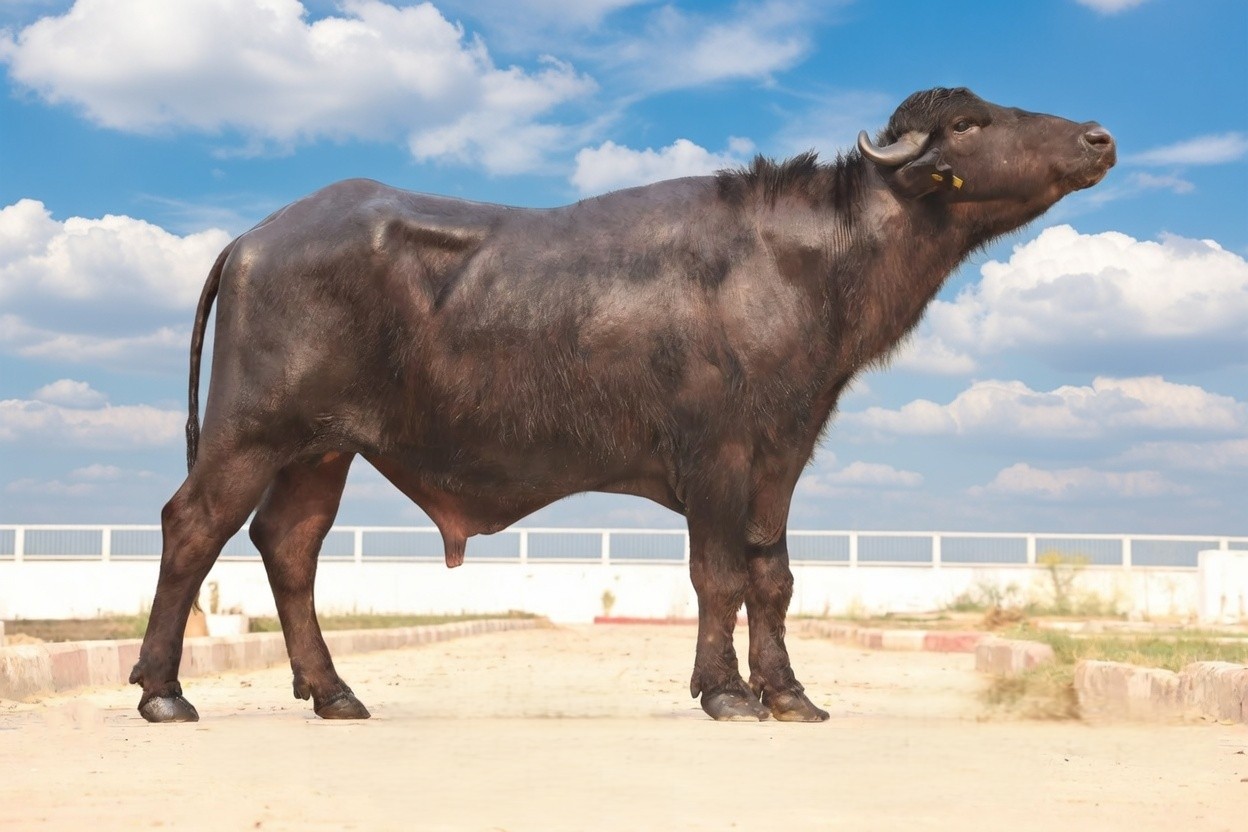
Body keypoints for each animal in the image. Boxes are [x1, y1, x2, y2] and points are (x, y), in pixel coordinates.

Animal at [129, 87, 1115, 723]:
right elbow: (718, 575)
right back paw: (164, 691)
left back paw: (332, 692)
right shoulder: (715, 454)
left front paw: (791, 693)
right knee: (194, 526)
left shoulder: (782, 453)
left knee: (288, 545)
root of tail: (257, 237)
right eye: (972, 122)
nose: (1099, 137)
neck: (798, 265)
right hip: (253, 430)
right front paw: (727, 692)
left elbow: (774, 577)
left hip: (321, 448)